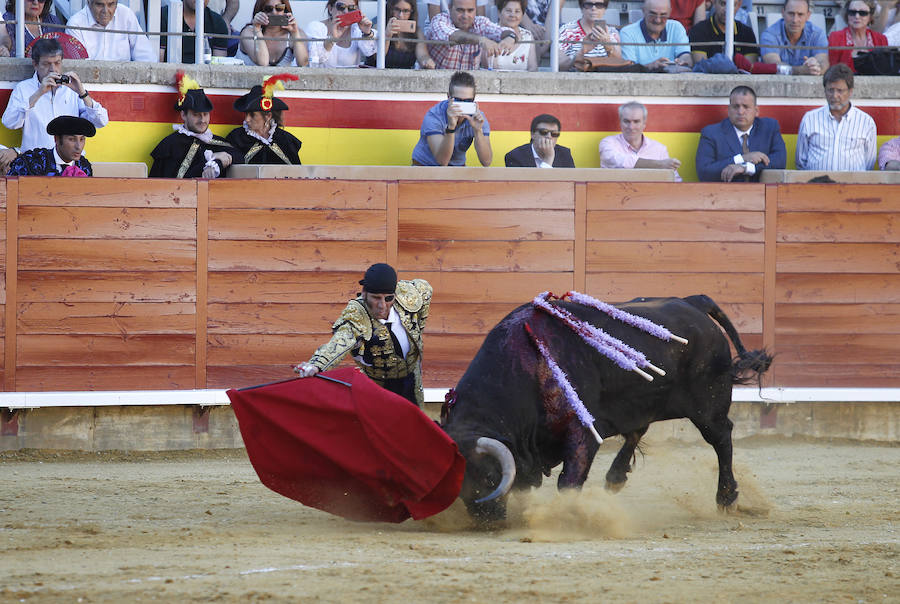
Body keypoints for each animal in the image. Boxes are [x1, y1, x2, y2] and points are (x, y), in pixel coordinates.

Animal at [440, 294, 768, 520]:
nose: (487, 519)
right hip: (644, 401)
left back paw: (726, 497)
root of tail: (693, 303)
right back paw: (615, 478)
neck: (527, 365)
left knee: (722, 438)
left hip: (708, 406)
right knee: (638, 429)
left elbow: (569, 481)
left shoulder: (583, 432)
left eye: (490, 477)